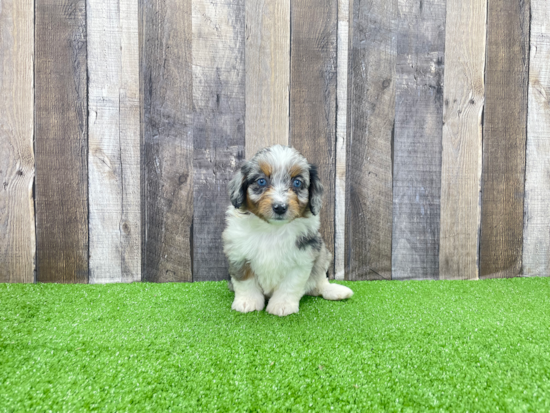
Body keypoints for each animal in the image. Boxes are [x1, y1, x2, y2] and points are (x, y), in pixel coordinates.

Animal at [223, 145, 356, 316]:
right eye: (261, 181)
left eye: (297, 182)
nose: (280, 207)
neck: (272, 229)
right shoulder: (238, 255)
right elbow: (246, 282)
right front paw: (248, 302)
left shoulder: (303, 257)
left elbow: (290, 285)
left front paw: (282, 305)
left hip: (323, 254)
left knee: (319, 282)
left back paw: (335, 291)